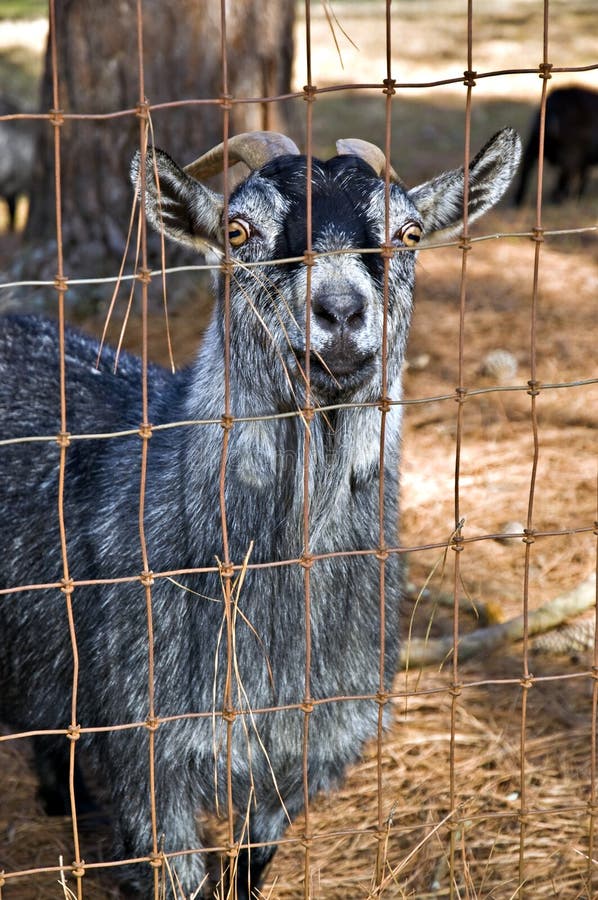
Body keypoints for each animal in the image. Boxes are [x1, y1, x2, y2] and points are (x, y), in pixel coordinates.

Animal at [0, 128, 521, 898]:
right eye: (238, 231)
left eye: (409, 233)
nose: (340, 311)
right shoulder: (147, 753)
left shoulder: (299, 757)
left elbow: (250, 863)